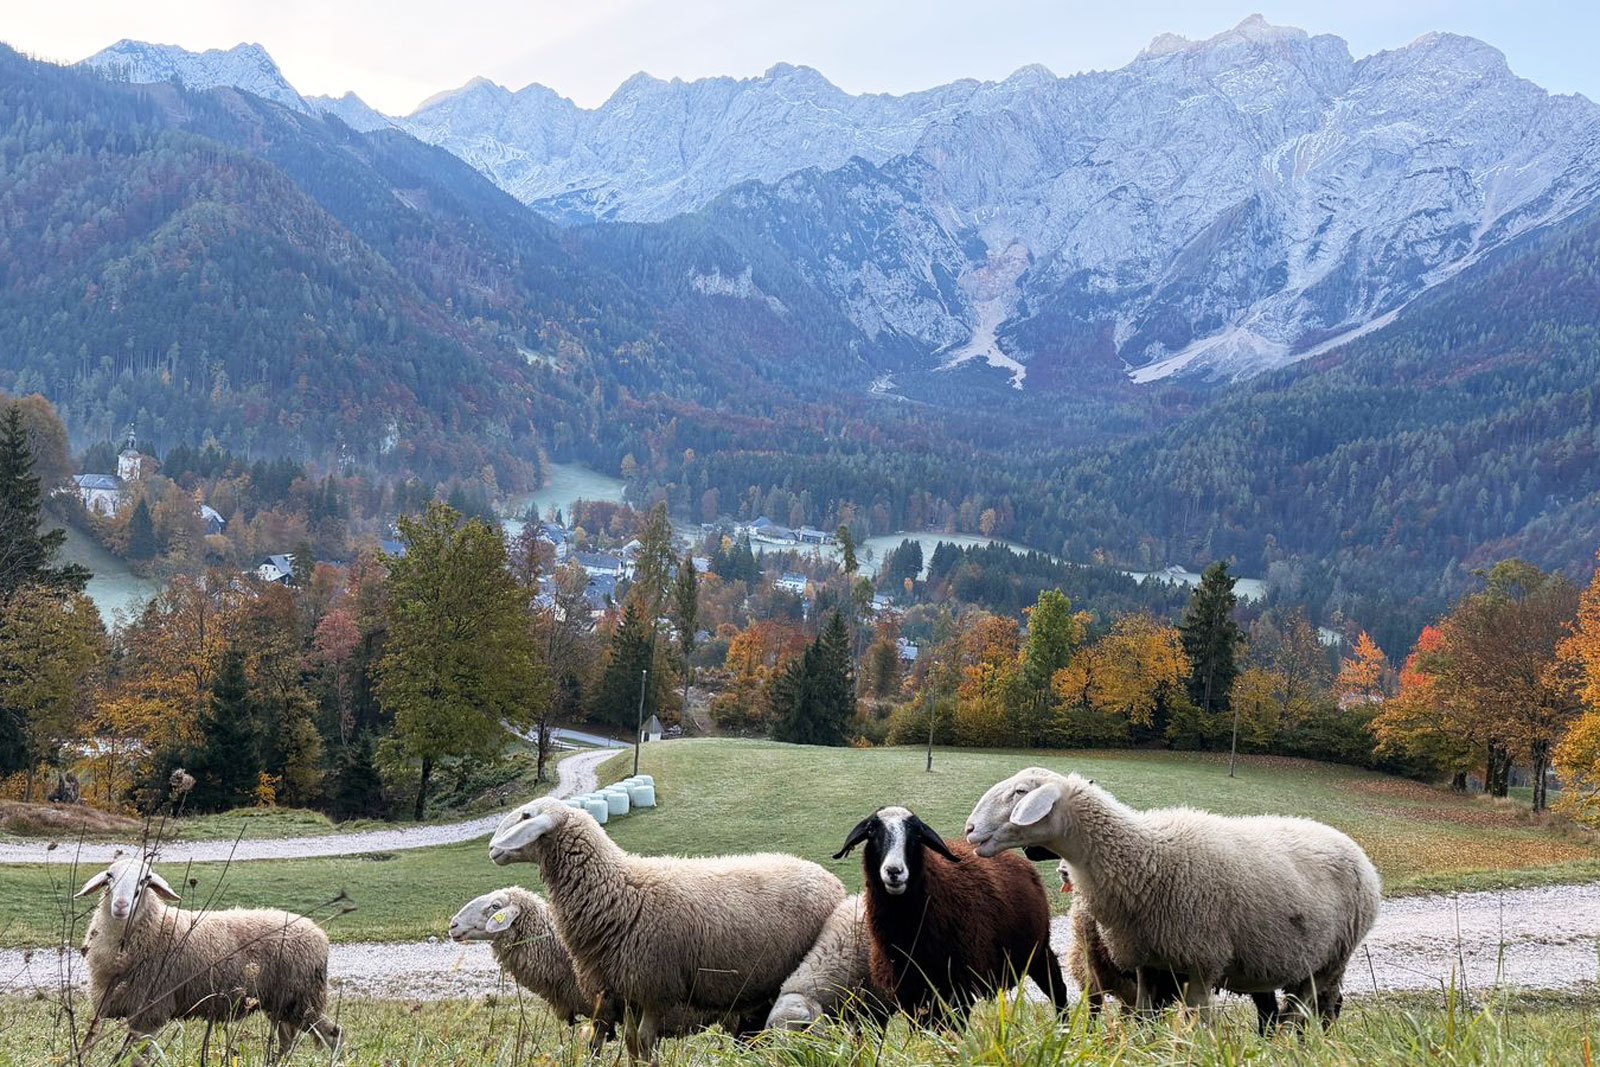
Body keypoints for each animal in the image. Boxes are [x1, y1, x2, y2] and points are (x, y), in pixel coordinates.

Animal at [74, 856, 339, 1062]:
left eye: (145, 880)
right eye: (109, 876)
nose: (120, 905)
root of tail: (318, 932)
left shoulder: (150, 1010)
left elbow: (140, 1056)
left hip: (303, 999)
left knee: (334, 1034)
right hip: (282, 1002)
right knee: (287, 1040)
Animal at [487, 796, 846, 1058]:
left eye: (527, 816)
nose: (492, 849)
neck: (619, 887)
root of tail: (830, 878)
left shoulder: (654, 985)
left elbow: (645, 1041)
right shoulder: (625, 988)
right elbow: (631, 1043)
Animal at [833, 806, 1067, 1024]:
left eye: (917, 834)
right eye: (871, 830)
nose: (894, 871)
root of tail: (1019, 861)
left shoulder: (959, 988)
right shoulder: (909, 993)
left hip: (1038, 950)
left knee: (1057, 989)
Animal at [966, 768, 1381, 1026]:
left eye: (1021, 793)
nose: (969, 830)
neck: (1144, 856)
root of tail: (1356, 851)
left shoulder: (1201, 961)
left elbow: (1198, 1023)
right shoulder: (1146, 963)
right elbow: (1144, 1020)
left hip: (1330, 961)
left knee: (1305, 1013)